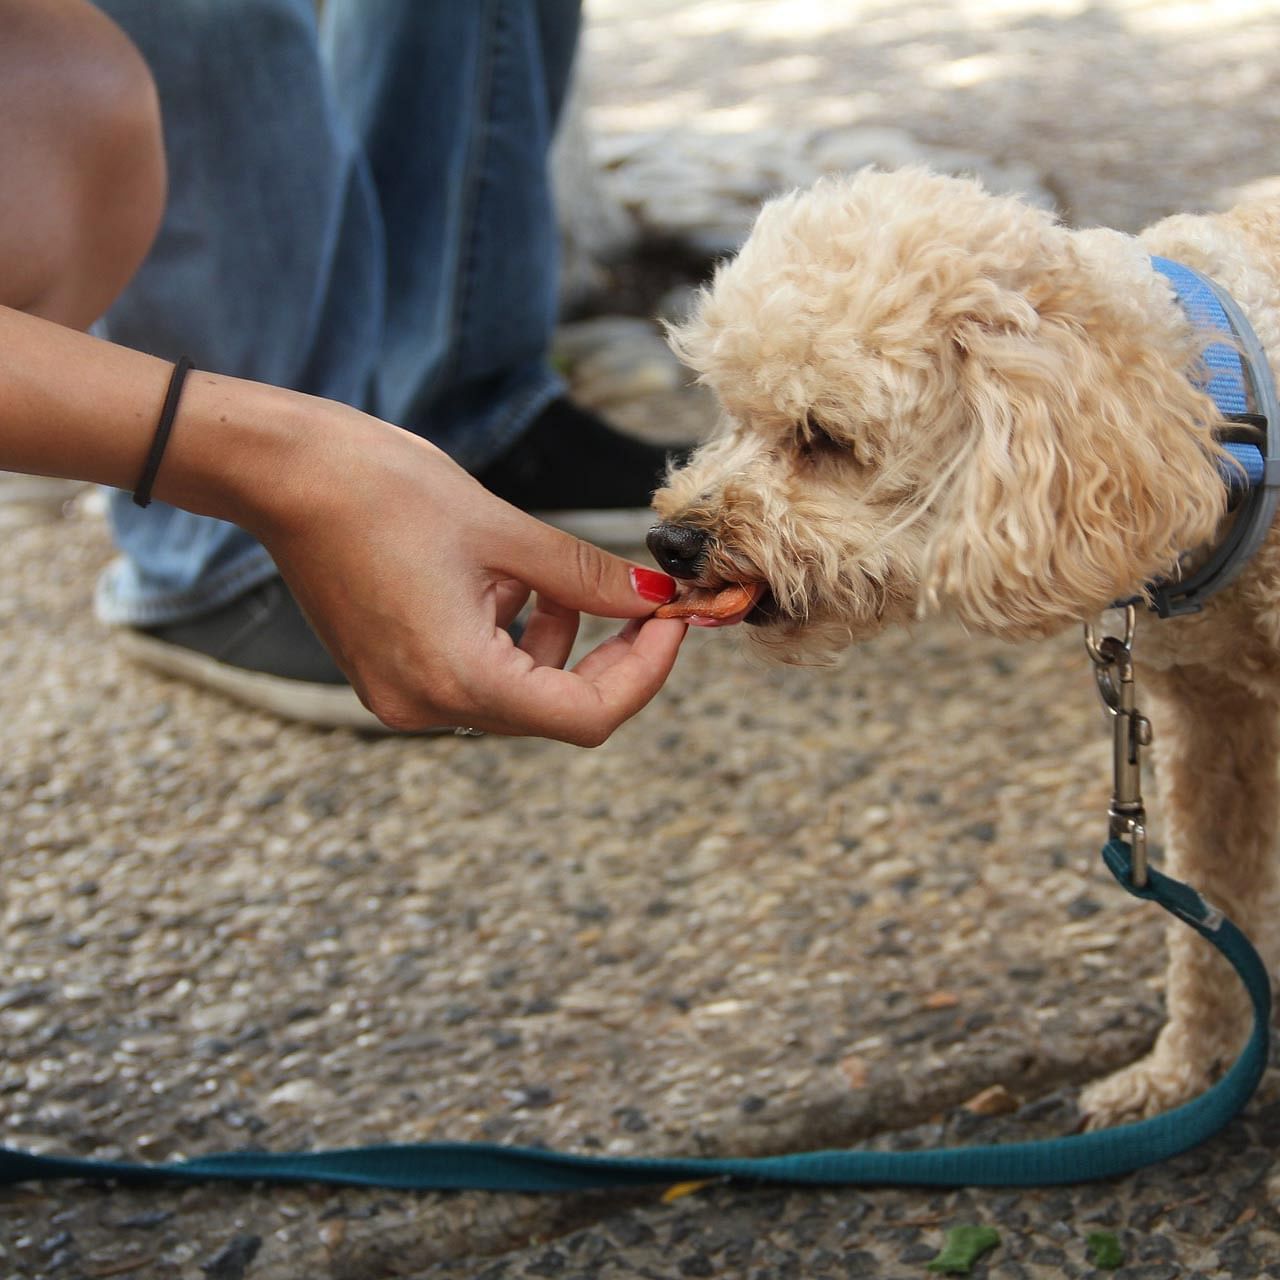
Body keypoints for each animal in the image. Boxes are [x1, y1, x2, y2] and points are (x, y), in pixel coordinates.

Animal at [650, 165, 1280, 1126]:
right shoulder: (1216, 729)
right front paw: (1184, 1073)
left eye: (823, 437)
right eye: (732, 413)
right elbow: (1212, 921)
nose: (670, 543)